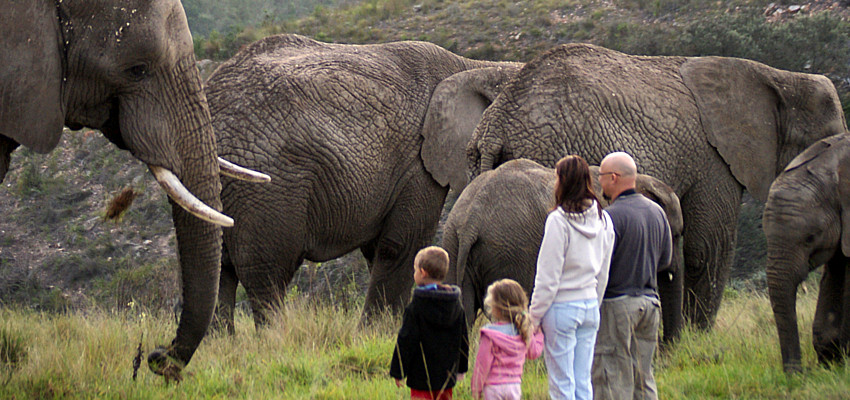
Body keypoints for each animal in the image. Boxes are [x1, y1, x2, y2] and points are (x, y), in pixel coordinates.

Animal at [204, 34, 522, 330]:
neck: (475, 67)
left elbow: (380, 249)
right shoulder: (417, 163)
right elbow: (401, 245)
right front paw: (381, 331)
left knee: (218, 274)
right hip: (270, 183)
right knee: (267, 275)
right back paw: (275, 338)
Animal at [442, 159, 685, 342]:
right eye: (676, 234)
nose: (668, 350)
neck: (640, 183)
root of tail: (473, 216)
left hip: (454, 243)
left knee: (465, 312)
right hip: (512, 250)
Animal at [467, 43, 847, 330]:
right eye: (823, 144)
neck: (777, 78)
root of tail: (497, 123)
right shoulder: (713, 159)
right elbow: (706, 248)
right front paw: (696, 338)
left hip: (476, 161)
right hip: (554, 148)